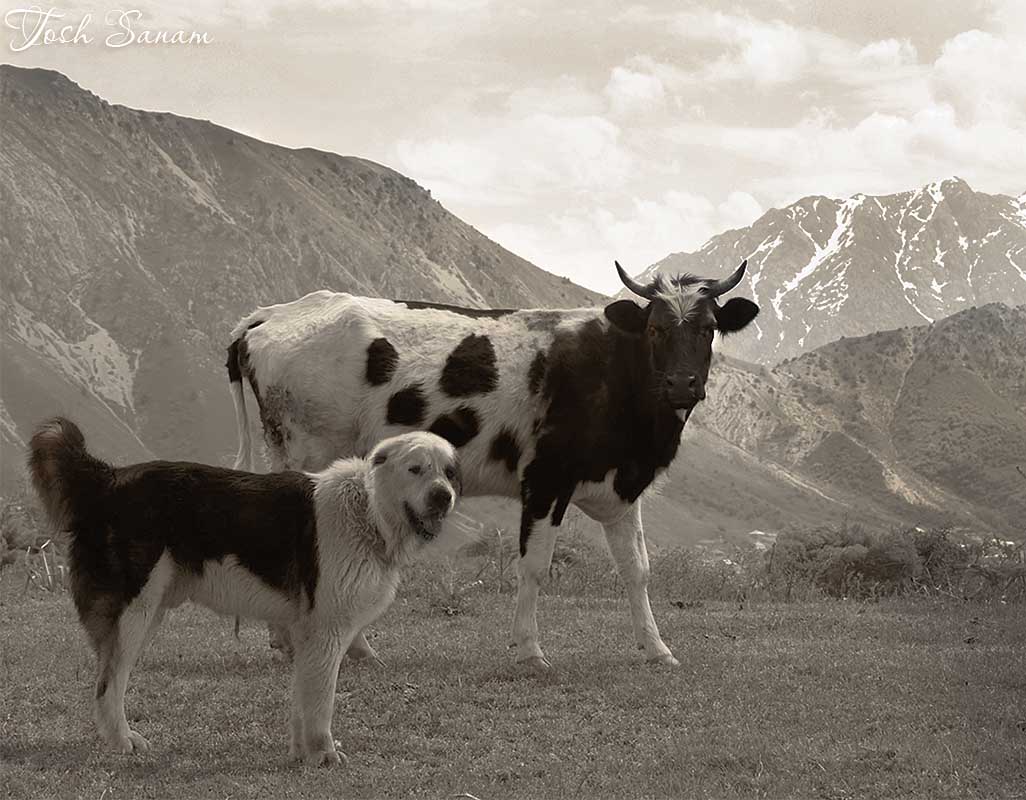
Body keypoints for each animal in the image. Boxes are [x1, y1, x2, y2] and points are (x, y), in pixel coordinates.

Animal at [28, 416, 461, 767]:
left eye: (448, 472)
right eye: (415, 469)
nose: (443, 496)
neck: (367, 511)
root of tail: (108, 479)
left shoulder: (308, 635)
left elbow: (304, 700)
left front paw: (303, 754)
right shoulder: (327, 632)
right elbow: (321, 702)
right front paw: (324, 754)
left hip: (149, 613)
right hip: (135, 613)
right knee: (108, 684)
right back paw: (122, 741)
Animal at [228, 259, 759, 664]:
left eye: (709, 328)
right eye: (655, 328)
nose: (682, 384)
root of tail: (271, 314)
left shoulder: (621, 489)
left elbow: (638, 569)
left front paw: (657, 650)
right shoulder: (546, 479)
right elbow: (535, 566)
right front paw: (529, 651)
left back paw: (347, 648)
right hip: (306, 448)